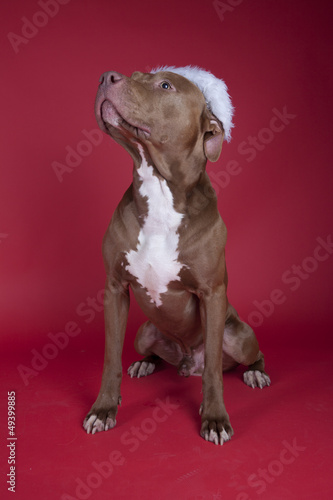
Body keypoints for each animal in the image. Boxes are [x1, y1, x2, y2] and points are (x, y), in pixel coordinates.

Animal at [83, 64, 270, 444]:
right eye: (136, 74)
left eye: (165, 85)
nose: (106, 77)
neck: (160, 188)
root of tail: (187, 364)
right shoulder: (114, 289)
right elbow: (110, 359)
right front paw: (104, 409)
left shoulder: (212, 294)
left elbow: (213, 369)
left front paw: (214, 418)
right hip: (145, 333)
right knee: (151, 352)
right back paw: (145, 364)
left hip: (239, 335)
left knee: (246, 356)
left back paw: (255, 373)